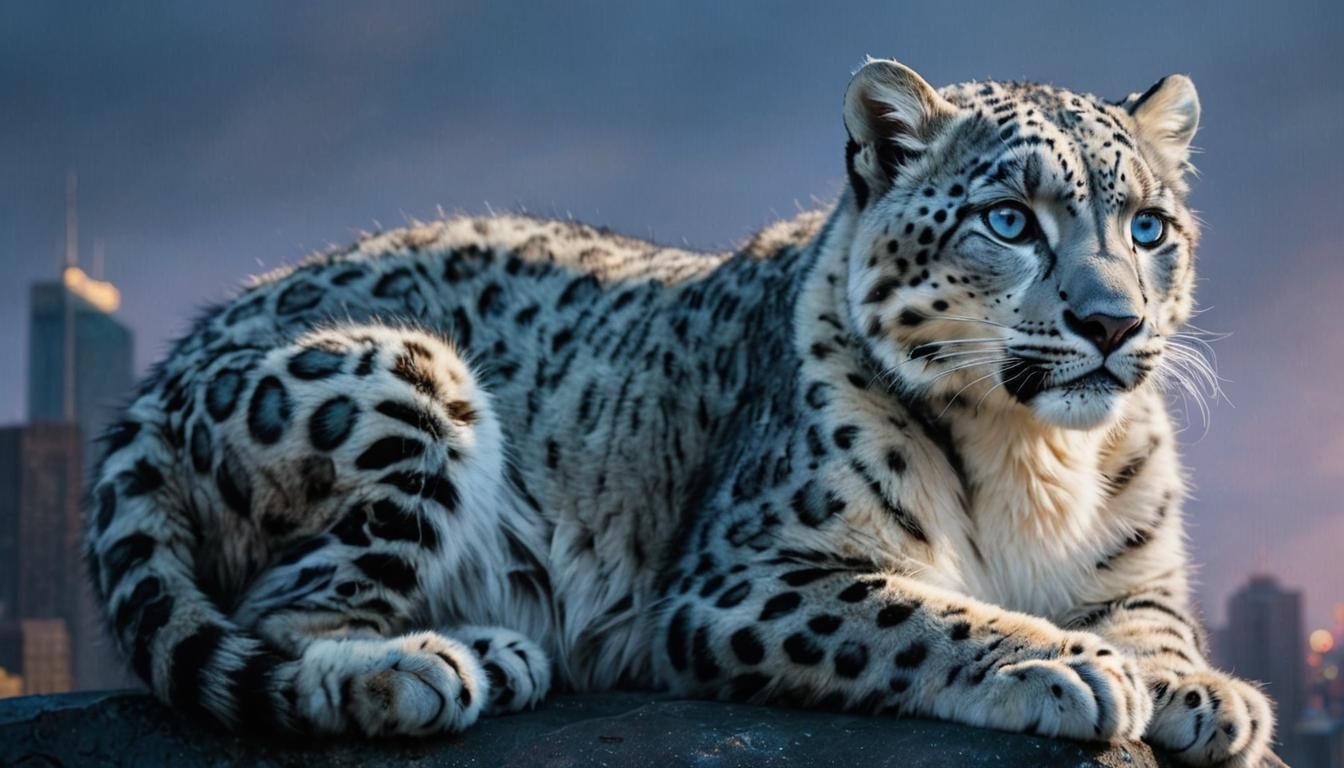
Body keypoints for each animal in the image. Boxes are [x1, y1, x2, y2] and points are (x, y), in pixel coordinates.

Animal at [85, 58, 1274, 766]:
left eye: (1150, 227)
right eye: (1009, 219)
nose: (1112, 323)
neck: (1036, 458)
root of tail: (169, 363)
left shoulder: (1135, 573)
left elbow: (1156, 623)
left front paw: (1208, 693)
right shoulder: (749, 577)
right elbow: (916, 614)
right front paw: (1061, 665)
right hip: (402, 378)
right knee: (283, 616)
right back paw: (439, 663)